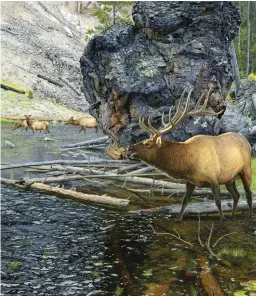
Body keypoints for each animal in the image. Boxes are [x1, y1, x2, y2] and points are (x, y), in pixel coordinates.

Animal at [127, 88, 253, 220]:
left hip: (246, 169)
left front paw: (222, 218)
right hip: (230, 178)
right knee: (236, 195)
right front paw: (179, 219)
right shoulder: (191, 181)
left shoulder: (213, 177)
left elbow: (218, 202)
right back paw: (232, 215)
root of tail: (247, 142)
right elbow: (184, 201)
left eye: (148, 143)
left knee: (248, 193)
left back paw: (249, 215)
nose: (129, 147)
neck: (189, 164)